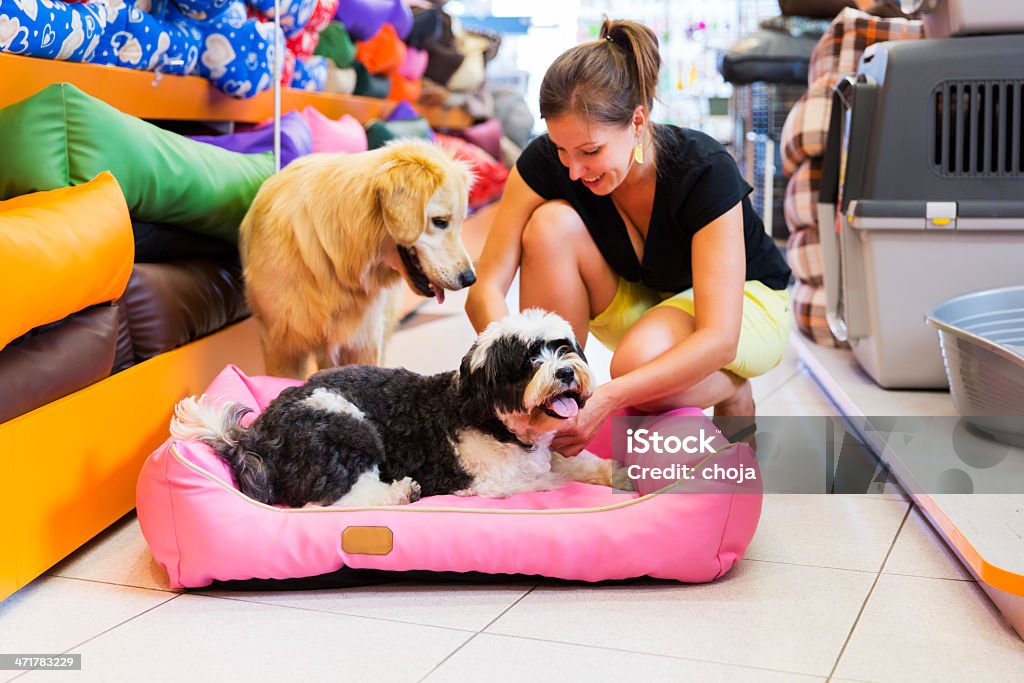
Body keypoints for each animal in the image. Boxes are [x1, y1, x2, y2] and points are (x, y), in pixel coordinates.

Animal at [171, 309, 610, 507]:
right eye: (527, 361)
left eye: (562, 348)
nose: (566, 372)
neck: (493, 421)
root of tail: (257, 439)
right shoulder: (490, 483)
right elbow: (551, 478)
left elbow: (573, 462)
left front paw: (608, 470)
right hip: (345, 424)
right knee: (331, 499)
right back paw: (400, 492)